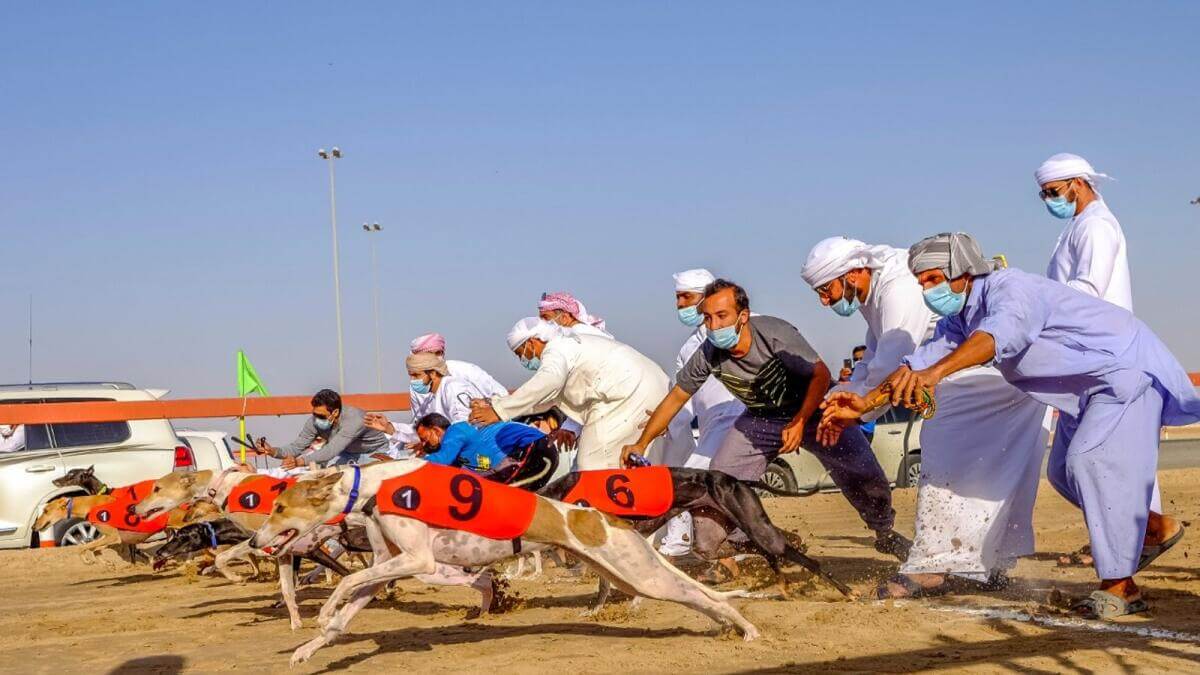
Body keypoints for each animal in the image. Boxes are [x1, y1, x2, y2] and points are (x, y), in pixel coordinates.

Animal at [253, 458, 758, 662]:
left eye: (279, 507)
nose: (257, 539)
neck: (378, 484)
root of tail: (609, 519)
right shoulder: (387, 565)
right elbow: (351, 604)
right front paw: (308, 648)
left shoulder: (418, 561)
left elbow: (342, 586)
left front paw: (324, 611)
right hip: (627, 576)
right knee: (697, 597)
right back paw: (726, 628)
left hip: (642, 575)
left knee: (706, 596)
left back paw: (748, 630)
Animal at [540, 466, 859, 595]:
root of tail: (737, 480)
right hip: (711, 539)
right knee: (760, 551)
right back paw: (782, 582)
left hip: (754, 526)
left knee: (795, 555)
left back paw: (846, 592)